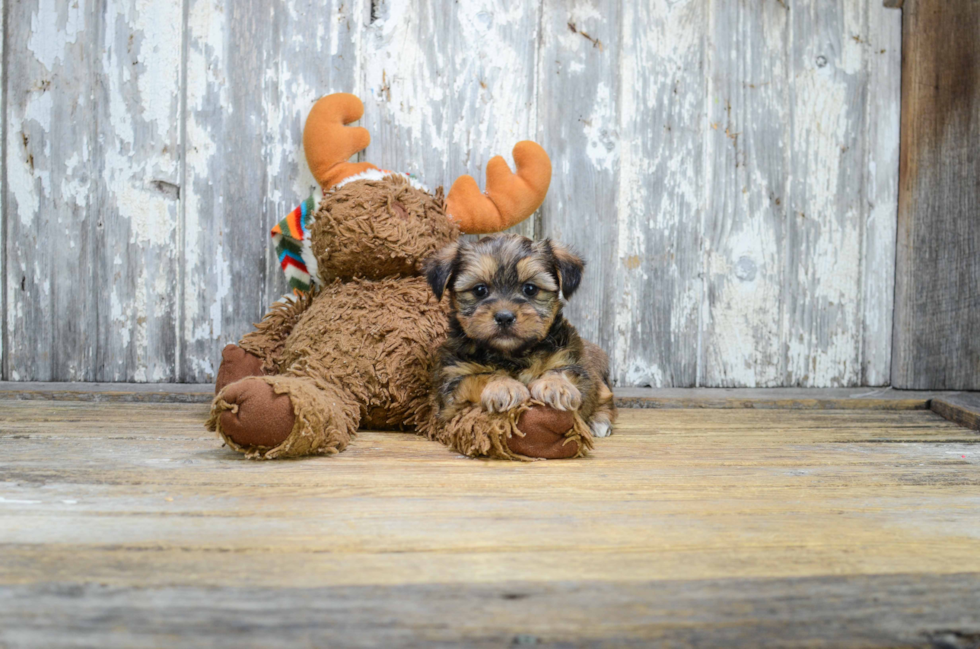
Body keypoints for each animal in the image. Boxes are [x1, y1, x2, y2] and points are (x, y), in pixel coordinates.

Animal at [424, 230, 616, 438]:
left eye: (530, 289)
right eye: (480, 290)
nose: (504, 317)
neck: (512, 354)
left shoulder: (573, 363)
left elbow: (562, 371)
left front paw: (556, 385)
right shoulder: (452, 383)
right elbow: (479, 376)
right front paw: (504, 385)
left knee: (606, 396)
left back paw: (599, 421)